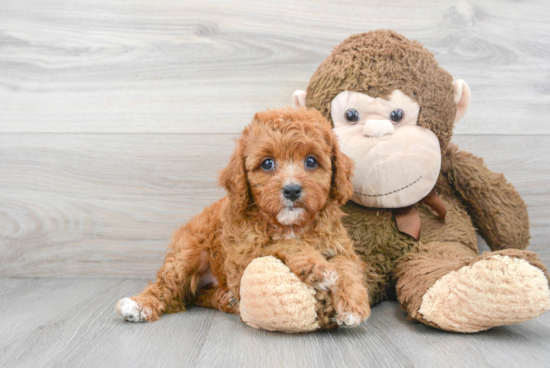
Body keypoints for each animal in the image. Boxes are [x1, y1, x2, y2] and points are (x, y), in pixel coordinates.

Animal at [116, 108, 370, 326]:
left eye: (311, 161)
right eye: (267, 163)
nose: (291, 190)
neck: (290, 225)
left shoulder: (340, 247)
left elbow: (347, 267)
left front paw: (353, 306)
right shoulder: (244, 258)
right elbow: (286, 245)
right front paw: (317, 268)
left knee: (194, 295)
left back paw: (225, 299)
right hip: (188, 251)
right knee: (169, 286)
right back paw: (138, 305)